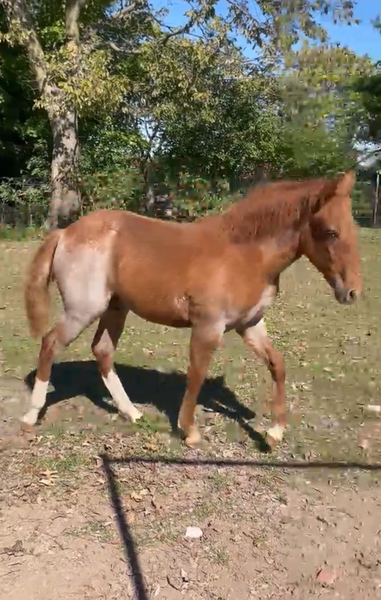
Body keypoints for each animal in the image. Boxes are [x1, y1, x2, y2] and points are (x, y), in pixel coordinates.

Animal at [23, 171, 362, 448]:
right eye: (331, 231)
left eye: (353, 228)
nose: (352, 292)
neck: (244, 254)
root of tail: (65, 233)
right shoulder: (208, 328)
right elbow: (197, 374)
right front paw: (190, 431)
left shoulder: (250, 324)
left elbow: (277, 364)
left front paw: (275, 432)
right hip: (83, 310)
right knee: (50, 343)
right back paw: (32, 413)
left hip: (116, 308)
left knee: (102, 350)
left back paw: (132, 412)